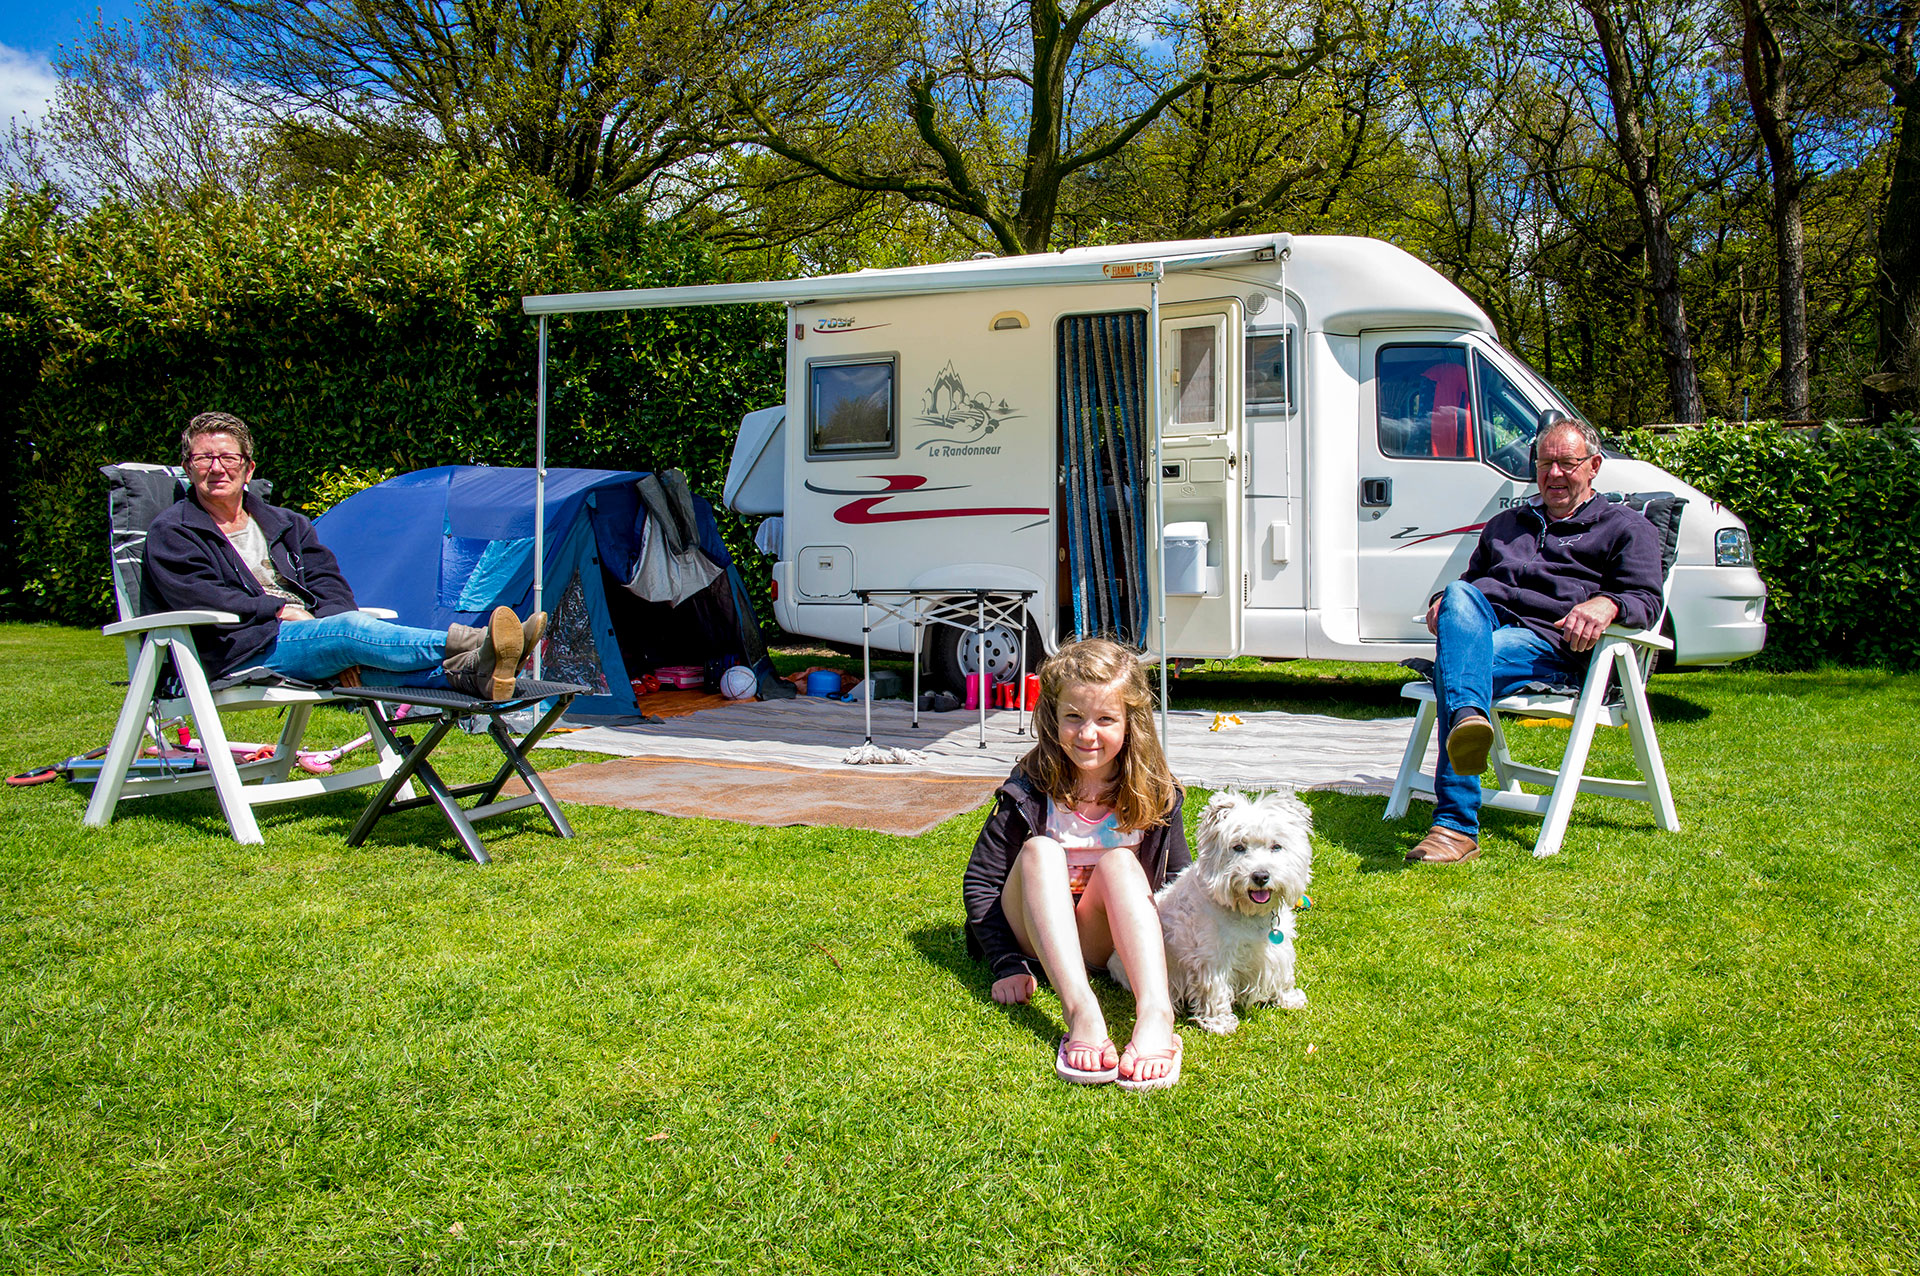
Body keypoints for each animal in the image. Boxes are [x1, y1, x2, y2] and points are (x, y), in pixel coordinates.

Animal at [1121, 790, 1313, 1028]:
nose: (1260, 876)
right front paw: (1220, 1023)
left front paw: (1290, 998)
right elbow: (1215, 989)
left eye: (1276, 846)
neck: (1247, 913)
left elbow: (1284, 972)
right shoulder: (1213, 957)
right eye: (1238, 847)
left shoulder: (1278, 948)